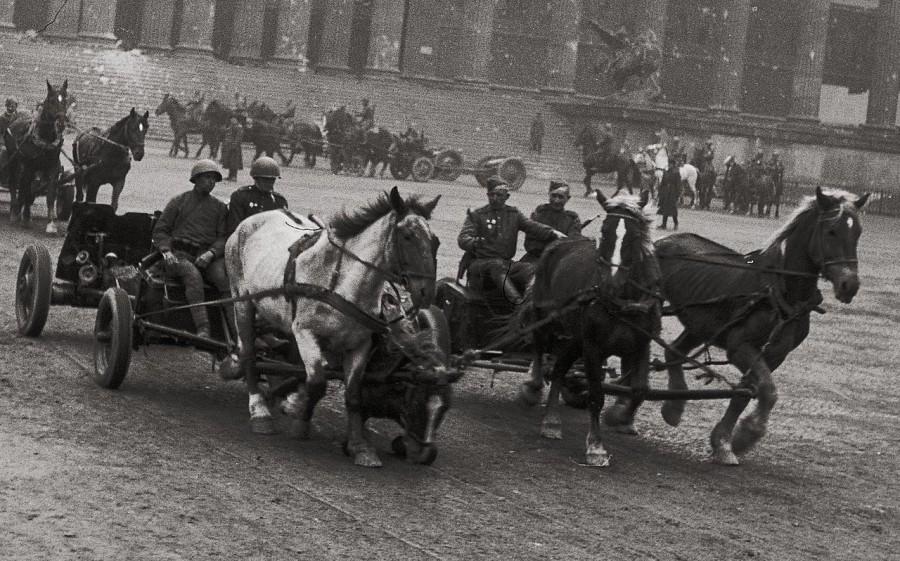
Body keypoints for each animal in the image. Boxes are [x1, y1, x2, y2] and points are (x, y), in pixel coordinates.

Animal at [3, 80, 69, 229]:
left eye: (65, 100)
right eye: (51, 100)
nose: (61, 123)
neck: (45, 139)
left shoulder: (52, 167)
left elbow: (51, 194)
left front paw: (51, 224)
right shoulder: (30, 165)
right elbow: (27, 190)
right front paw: (26, 218)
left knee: (22, 184)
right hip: (14, 159)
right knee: (14, 183)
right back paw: (14, 211)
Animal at [226, 186, 450, 467]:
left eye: (435, 241)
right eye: (408, 236)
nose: (426, 292)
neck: (342, 284)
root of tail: (251, 221)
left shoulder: (360, 345)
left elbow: (353, 395)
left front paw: (359, 446)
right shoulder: (306, 333)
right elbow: (317, 382)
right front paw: (300, 420)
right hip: (242, 301)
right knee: (249, 354)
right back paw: (260, 410)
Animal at [511, 189, 661, 466]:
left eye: (634, 236)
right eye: (605, 231)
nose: (610, 284)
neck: (622, 301)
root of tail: (561, 241)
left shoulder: (641, 343)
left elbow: (639, 390)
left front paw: (620, 417)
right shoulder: (593, 346)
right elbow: (596, 396)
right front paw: (596, 446)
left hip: (575, 336)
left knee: (559, 369)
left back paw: (551, 421)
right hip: (546, 316)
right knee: (539, 346)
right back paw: (534, 386)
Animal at [652, 187, 869, 465]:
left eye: (858, 232)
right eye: (831, 231)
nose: (849, 285)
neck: (781, 292)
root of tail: (661, 241)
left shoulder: (774, 354)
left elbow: (746, 394)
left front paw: (724, 442)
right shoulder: (741, 348)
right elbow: (768, 391)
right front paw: (746, 435)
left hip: (700, 324)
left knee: (674, 351)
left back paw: (673, 405)